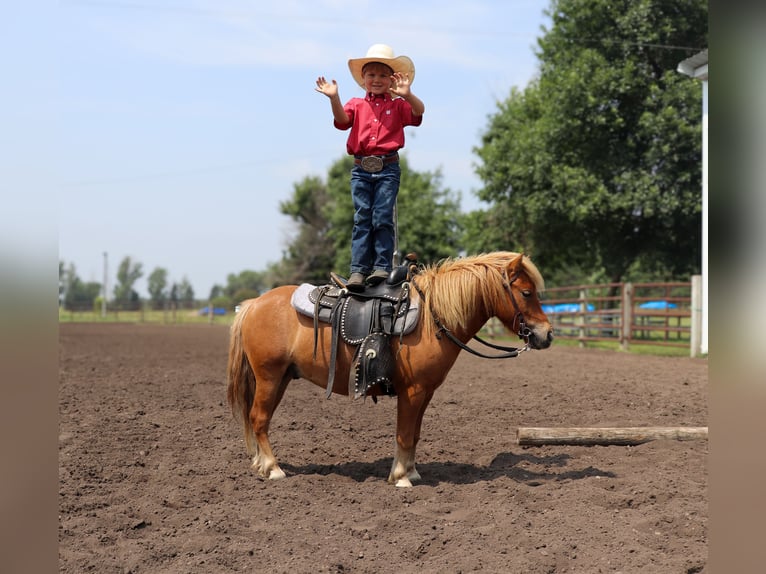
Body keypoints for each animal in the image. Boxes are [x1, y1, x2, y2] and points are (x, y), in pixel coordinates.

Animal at [225, 254, 556, 488]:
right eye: (527, 293)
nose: (548, 334)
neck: (432, 318)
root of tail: (253, 304)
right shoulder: (412, 392)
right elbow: (404, 434)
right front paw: (401, 477)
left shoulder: (426, 393)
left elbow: (415, 434)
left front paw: (412, 471)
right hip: (269, 377)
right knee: (259, 419)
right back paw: (273, 469)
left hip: (279, 379)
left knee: (258, 419)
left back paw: (261, 464)